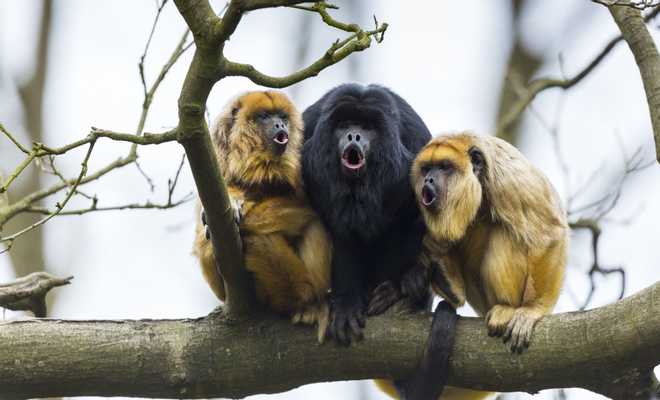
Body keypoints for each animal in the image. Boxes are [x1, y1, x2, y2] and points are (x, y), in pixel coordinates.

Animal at [193, 89, 332, 340]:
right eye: (265, 116)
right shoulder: (217, 157)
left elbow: (313, 207)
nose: (280, 124)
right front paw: (234, 201)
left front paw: (246, 218)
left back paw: (305, 300)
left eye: (282, 117)